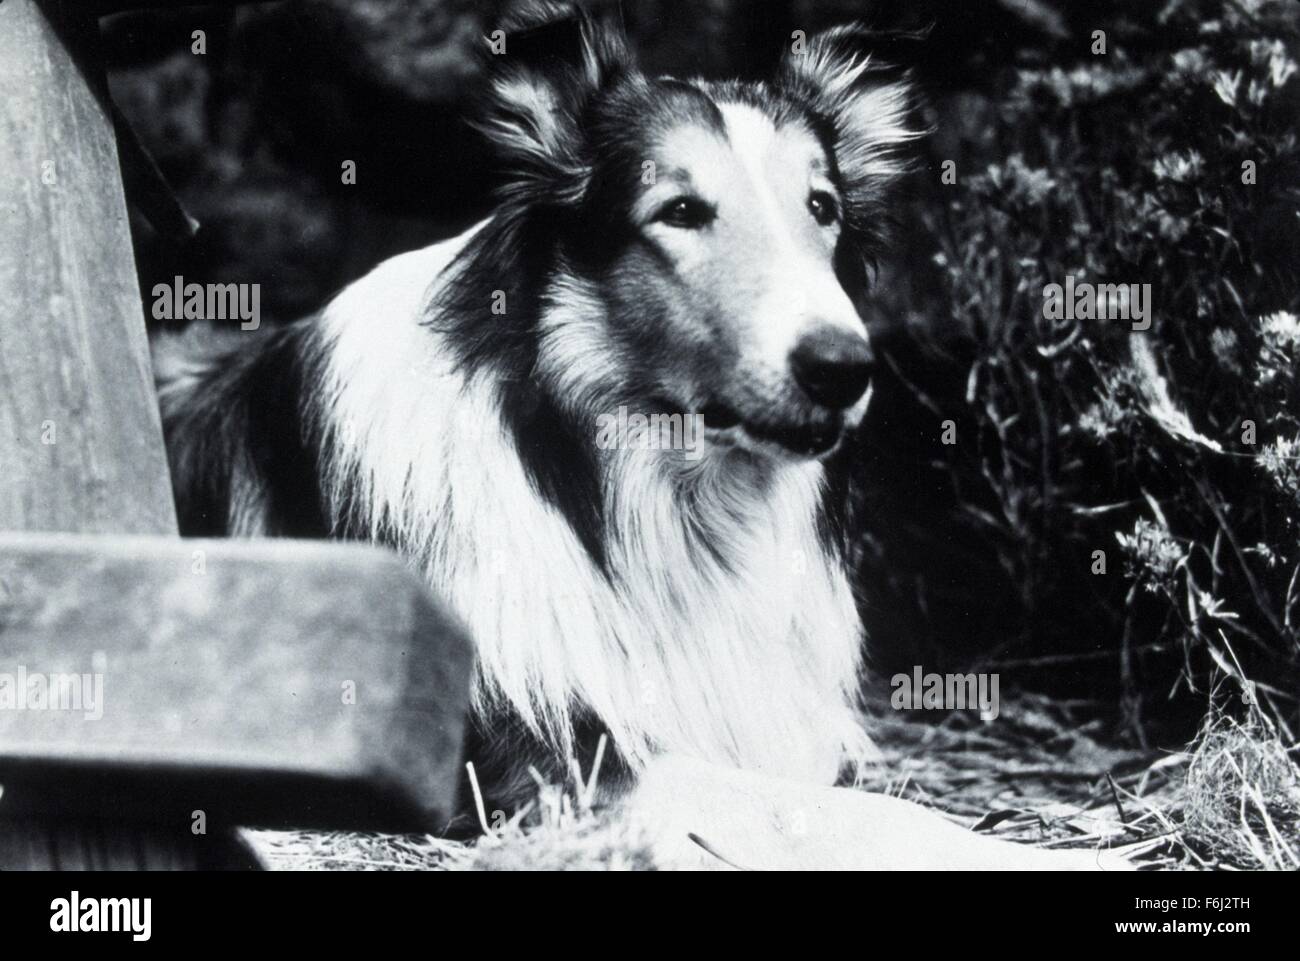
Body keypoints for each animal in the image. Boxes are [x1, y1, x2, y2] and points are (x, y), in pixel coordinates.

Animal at [159, 7, 1118, 868]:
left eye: (822, 207)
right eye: (681, 210)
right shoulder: (544, 760)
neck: (643, 496)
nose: (843, 368)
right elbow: (822, 809)